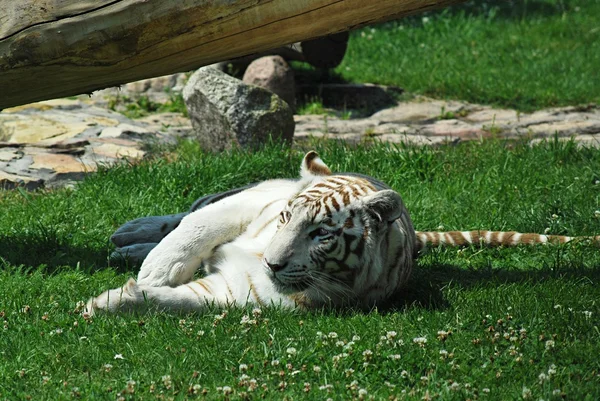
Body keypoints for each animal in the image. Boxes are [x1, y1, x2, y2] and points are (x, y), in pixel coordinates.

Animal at [85, 152, 600, 314]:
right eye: (287, 219)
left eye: (321, 236)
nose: (272, 262)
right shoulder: (253, 204)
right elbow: (197, 227)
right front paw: (157, 269)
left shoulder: (242, 291)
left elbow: (184, 302)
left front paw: (117, 301)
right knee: (188, 213)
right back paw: (131, 236)